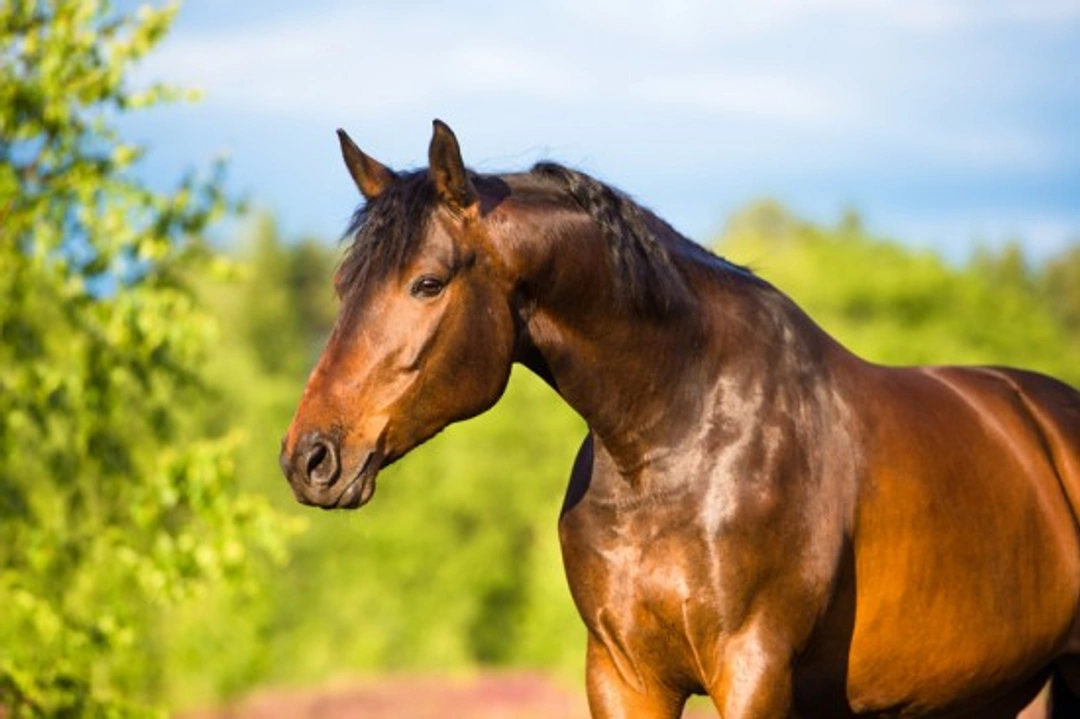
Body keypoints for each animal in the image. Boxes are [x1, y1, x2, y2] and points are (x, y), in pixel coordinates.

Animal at [279, 120, 1080, 718]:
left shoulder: (752, 669)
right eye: (342, 283)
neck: (675, 444)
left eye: (427, 282)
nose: (309, 457)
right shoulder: (623, 674)